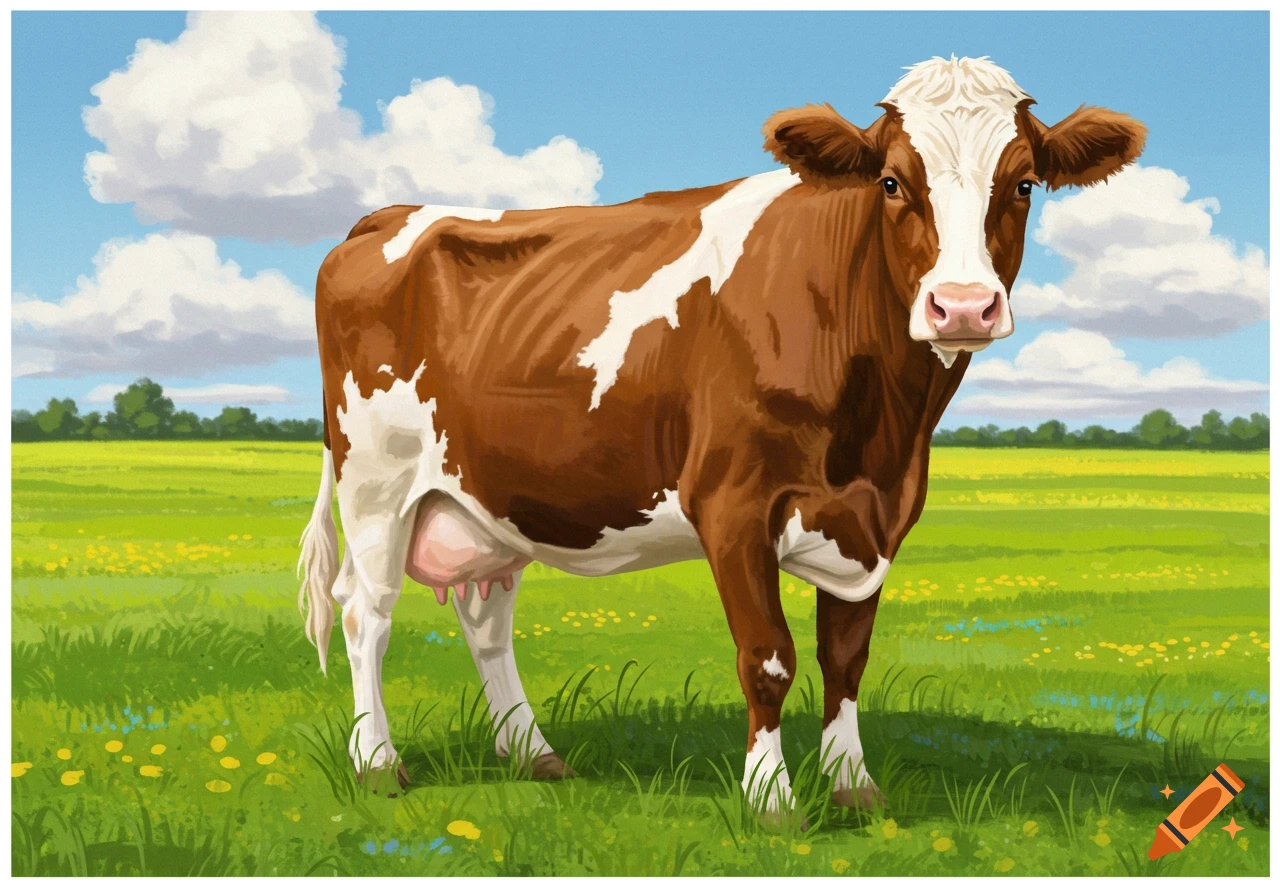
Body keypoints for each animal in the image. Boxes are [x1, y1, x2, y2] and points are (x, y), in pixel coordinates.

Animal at [297, 56, 1144, 812]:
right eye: (892, 182)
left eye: (1024, 184)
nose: (963, 305)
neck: (879, 433)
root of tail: (385, 217)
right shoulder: (734, 504)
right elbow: (768, 656)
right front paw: (770, 798)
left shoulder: (876, 515)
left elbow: (846, 658)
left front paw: (853, 787)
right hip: (377, 481)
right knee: (365, 611)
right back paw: (378, 764)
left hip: (491, 496)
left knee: (485, 619)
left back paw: (534, 754)